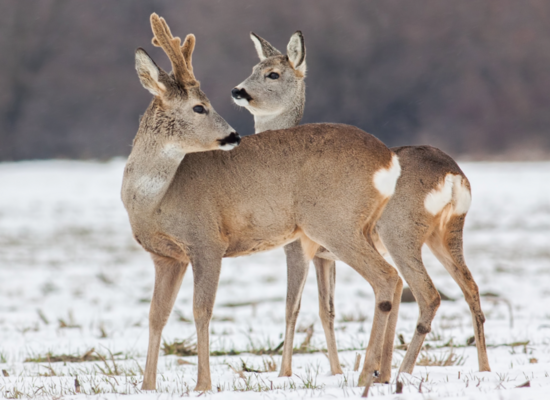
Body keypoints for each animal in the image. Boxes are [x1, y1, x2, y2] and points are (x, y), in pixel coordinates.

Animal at [232, 30, 492, 382]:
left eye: (273, 74)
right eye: (253, 68)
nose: (238, 90)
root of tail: (453, 176)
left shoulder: (299, 244)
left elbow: (292, 307)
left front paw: (285, 373)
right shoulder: (325, 256)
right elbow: (326, 309)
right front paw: (337, 370)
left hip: (400, 232)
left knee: (427, 294)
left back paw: (403, 371)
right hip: (447, 232)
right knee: (471, 288)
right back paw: (483, 368)